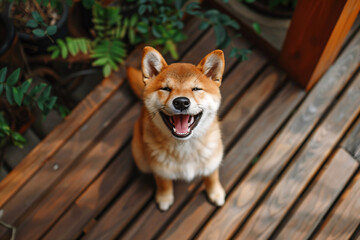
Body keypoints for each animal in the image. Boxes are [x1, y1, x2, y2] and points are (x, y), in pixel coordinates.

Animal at [127, 46, 225, 210]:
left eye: (196, 89)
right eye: (166, 88)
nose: (181, 102)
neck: (185, 148)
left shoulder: (212, 161)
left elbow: (212, 178)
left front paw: (215, 193)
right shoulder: (159, 169)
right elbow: (164, 183)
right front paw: (164, 198)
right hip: (141, 160)